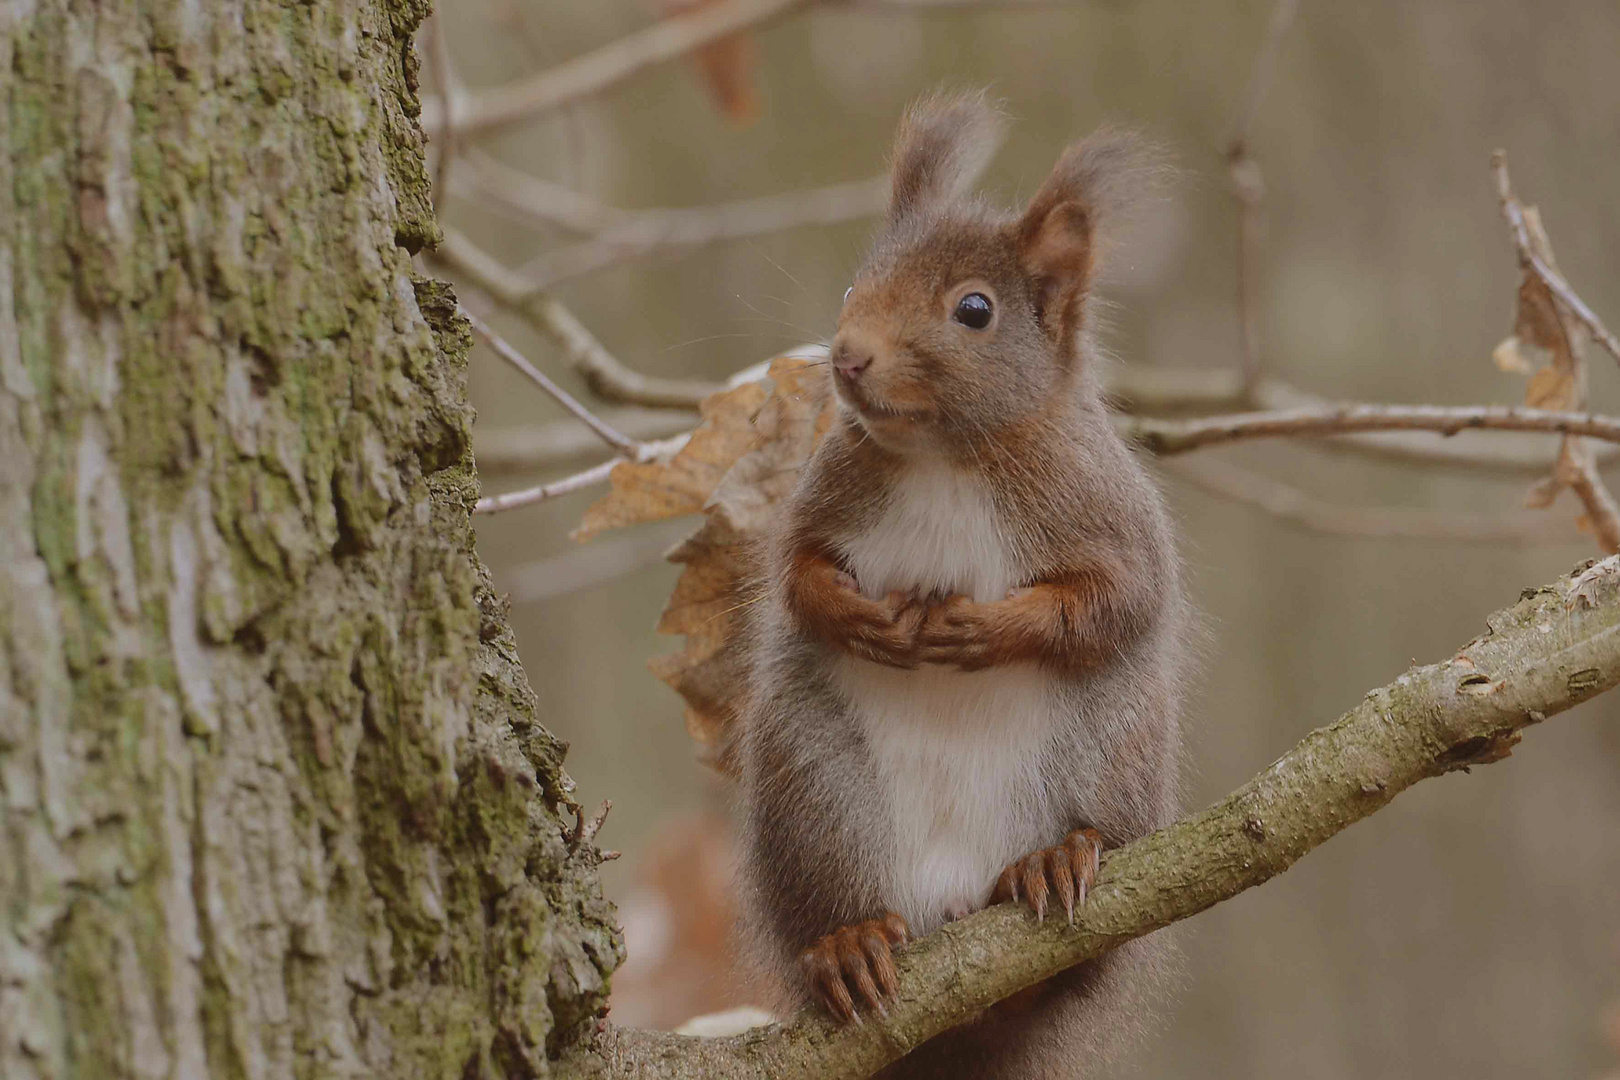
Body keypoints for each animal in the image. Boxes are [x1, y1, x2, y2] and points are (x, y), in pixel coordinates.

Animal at [738, 90, 1192, 1075]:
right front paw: (857, 616)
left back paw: (1057, 860)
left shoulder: (1105, 511)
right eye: (852, 287)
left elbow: (1119, 599)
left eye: (974, 310)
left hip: (1108, 749)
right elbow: (794, 575)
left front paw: (988, 629)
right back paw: (848, 945)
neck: (942, 456)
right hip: (816, 795)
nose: (847, 357)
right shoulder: (823, 497)